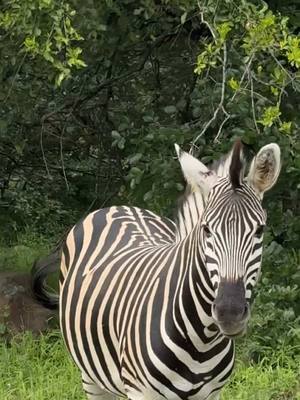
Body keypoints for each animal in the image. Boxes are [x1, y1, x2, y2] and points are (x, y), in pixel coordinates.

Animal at [32, 140, 282, 400]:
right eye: (206, 229)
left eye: (260, 230)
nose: (229, 313)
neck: (202, 340)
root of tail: (118, 207)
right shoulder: (141, 391)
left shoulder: (212, 393)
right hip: (91, 376)